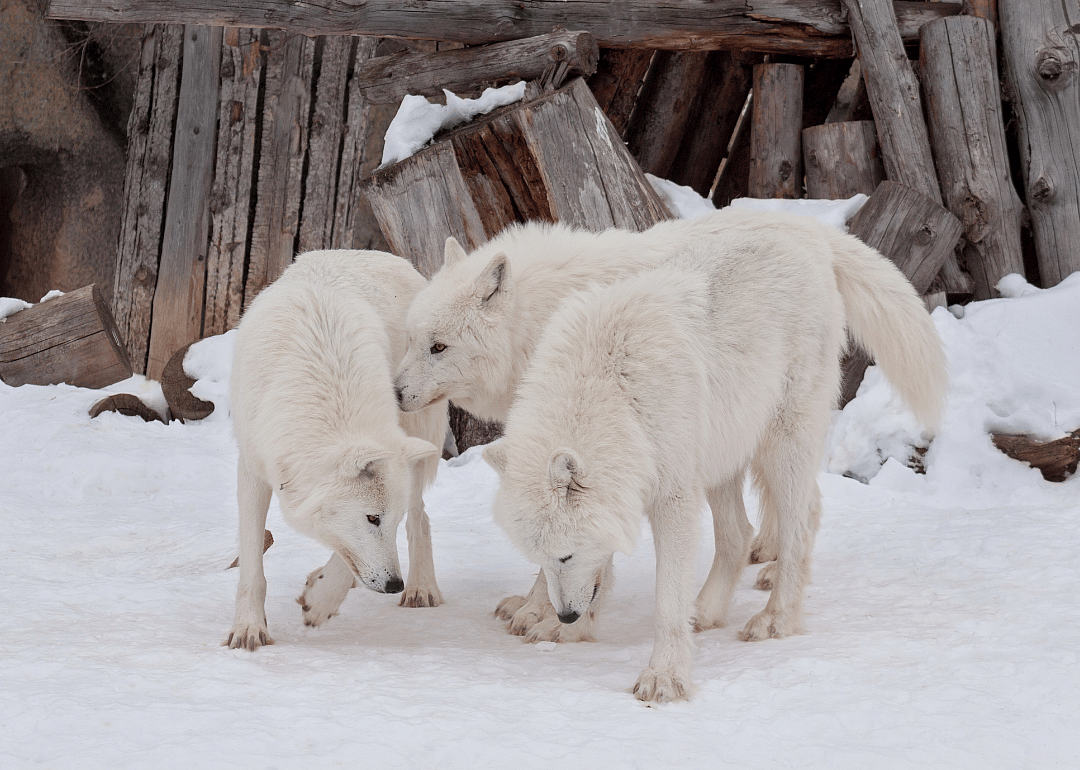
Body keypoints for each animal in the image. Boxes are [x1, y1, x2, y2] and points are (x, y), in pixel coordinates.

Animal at [225, 249, 447, 651]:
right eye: (372, 519)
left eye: (386, 520)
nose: (395, 584)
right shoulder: (252, 470)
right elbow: (252, 565)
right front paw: (249, 629)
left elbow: (347, 557)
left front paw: (320, 602)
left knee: (420, 516)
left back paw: (421, 588)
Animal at [481, 210, 947, 702]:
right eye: (541, 556)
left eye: (566, 556)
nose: (566, 613)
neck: (614, 394)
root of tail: (808, 229)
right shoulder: (627, 488)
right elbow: (603, 572)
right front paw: (571, 631)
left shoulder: (672, 499)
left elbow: (665, 601)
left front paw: (664, 677)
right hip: (722, 454)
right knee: (741, 534)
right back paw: (705, 611)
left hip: (780, 443)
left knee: (797, 524)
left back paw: (775, 618)